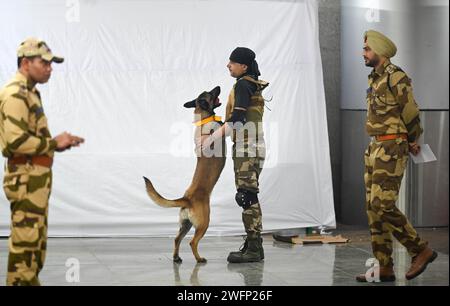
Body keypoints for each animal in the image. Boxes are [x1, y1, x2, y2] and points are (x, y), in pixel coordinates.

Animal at [144, 86, 227, 262]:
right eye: (211, 93)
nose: (218, 86)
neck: (204, 118)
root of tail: (187, 199)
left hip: (186, 225)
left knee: (177, 239)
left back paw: (176, 257)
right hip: (203, 224)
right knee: (192, 242)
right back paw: (199, 259)